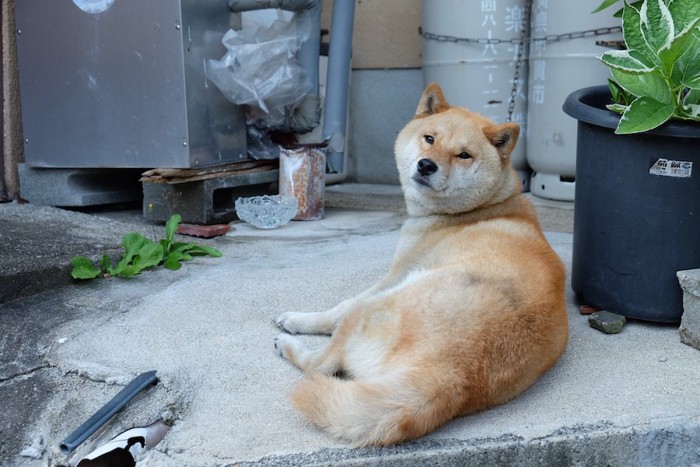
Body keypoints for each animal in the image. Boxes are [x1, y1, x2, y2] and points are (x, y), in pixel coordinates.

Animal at [274, 83, 568, 446]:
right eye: (429, 138)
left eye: (463, 155)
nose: (427, 165)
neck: (485, 206)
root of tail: (447, 374)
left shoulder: (393, 276)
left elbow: (337, 309)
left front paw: (299, 320)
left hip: (378, 304)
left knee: (322, 364)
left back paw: (288, 345)